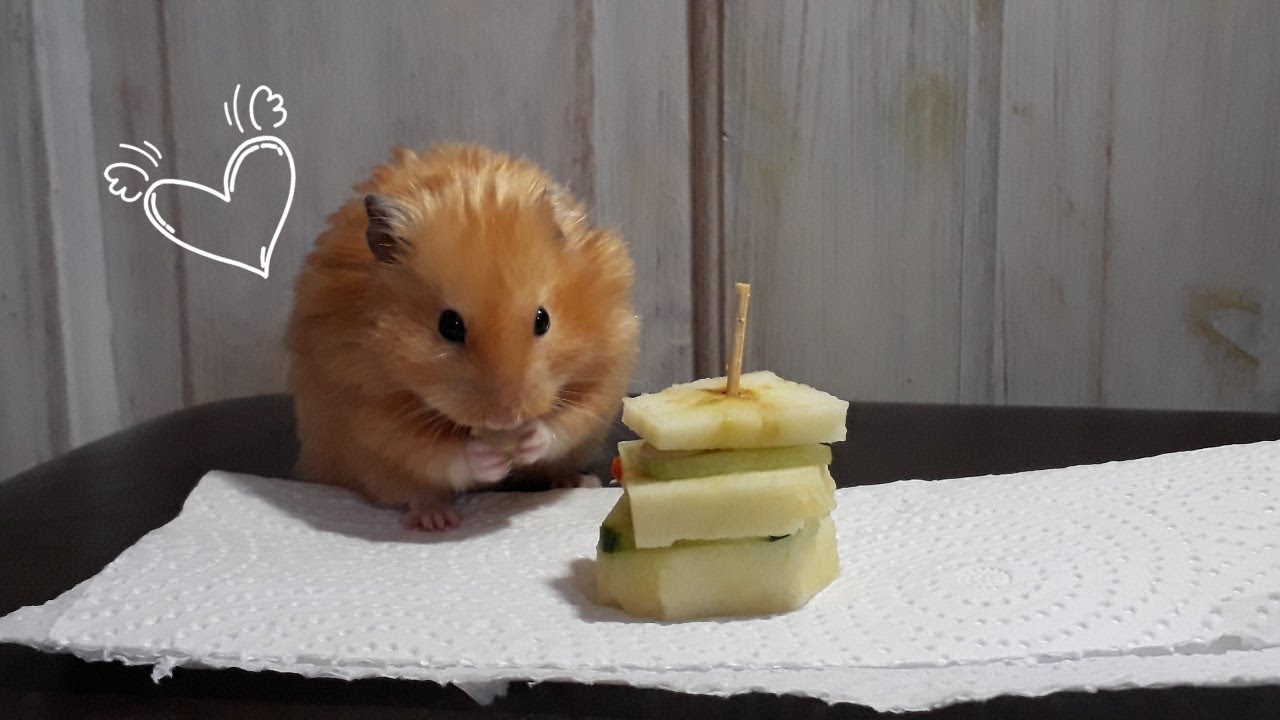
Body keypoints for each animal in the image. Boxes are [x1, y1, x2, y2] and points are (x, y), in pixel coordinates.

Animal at [285, 143, 638, 530]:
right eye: (449, 326)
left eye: (543, 320)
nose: (506, 419)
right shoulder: (365, 403)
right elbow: (429, 450)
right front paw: (487, 458)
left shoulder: (607, 369)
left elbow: (569, 420)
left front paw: (530, 439)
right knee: (414, 490)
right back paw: (436, 519)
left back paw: (578, 481)